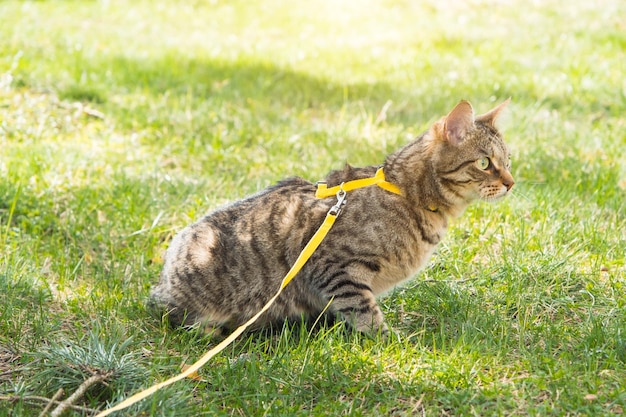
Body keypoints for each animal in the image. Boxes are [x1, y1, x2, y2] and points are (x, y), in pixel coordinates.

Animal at [150, 99, 512, 336]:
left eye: (508, 161)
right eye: (484, 163)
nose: (511, 182)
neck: (409, 195)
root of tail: (161, 284)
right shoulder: (334, 266)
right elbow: (364, 310)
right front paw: (388, 339)